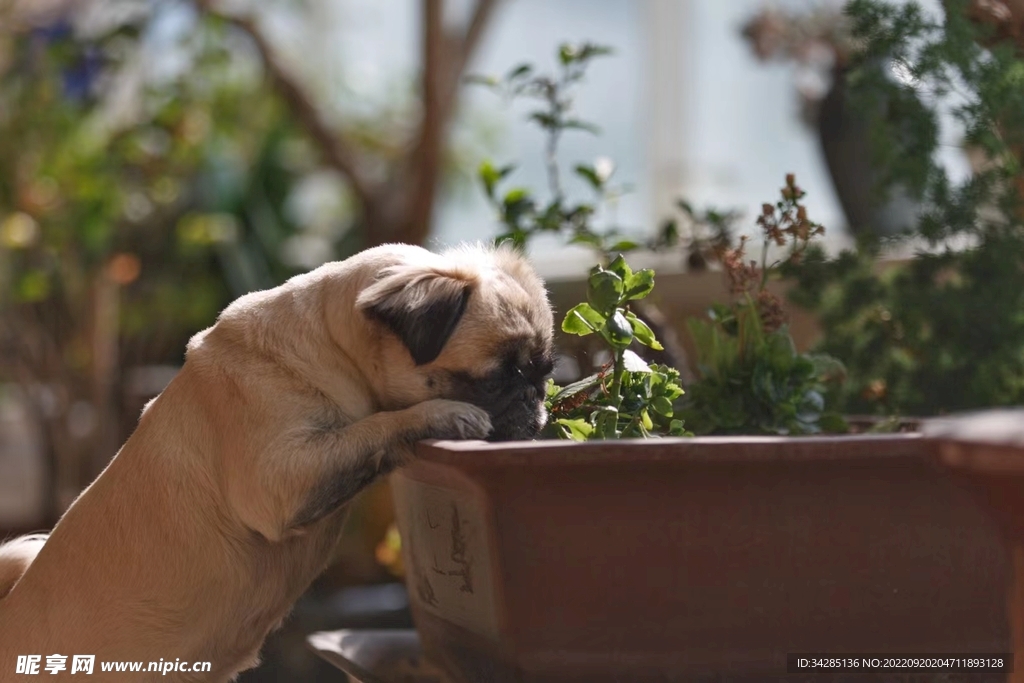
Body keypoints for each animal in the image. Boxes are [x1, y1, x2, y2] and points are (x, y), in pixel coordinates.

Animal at [0, 245, 552, 683]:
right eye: (496, 378)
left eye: (544, 371)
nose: (537, 399)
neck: (333, 351)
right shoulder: (284, 479)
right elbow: (376, 426)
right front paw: (440, 414)